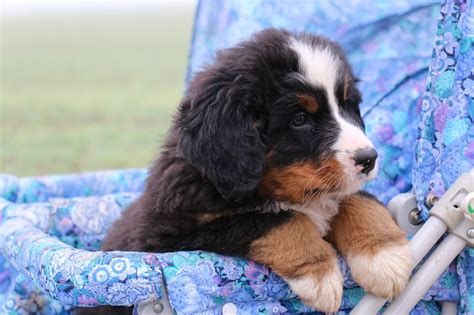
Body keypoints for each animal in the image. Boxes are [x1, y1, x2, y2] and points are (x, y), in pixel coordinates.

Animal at [80, 28, 412, 314]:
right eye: (300, 119)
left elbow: (358, 199)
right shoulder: (169, 235)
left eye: (347, 106)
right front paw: (319, 275)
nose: (369, 158)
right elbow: (277, 220)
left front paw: (385, 256)